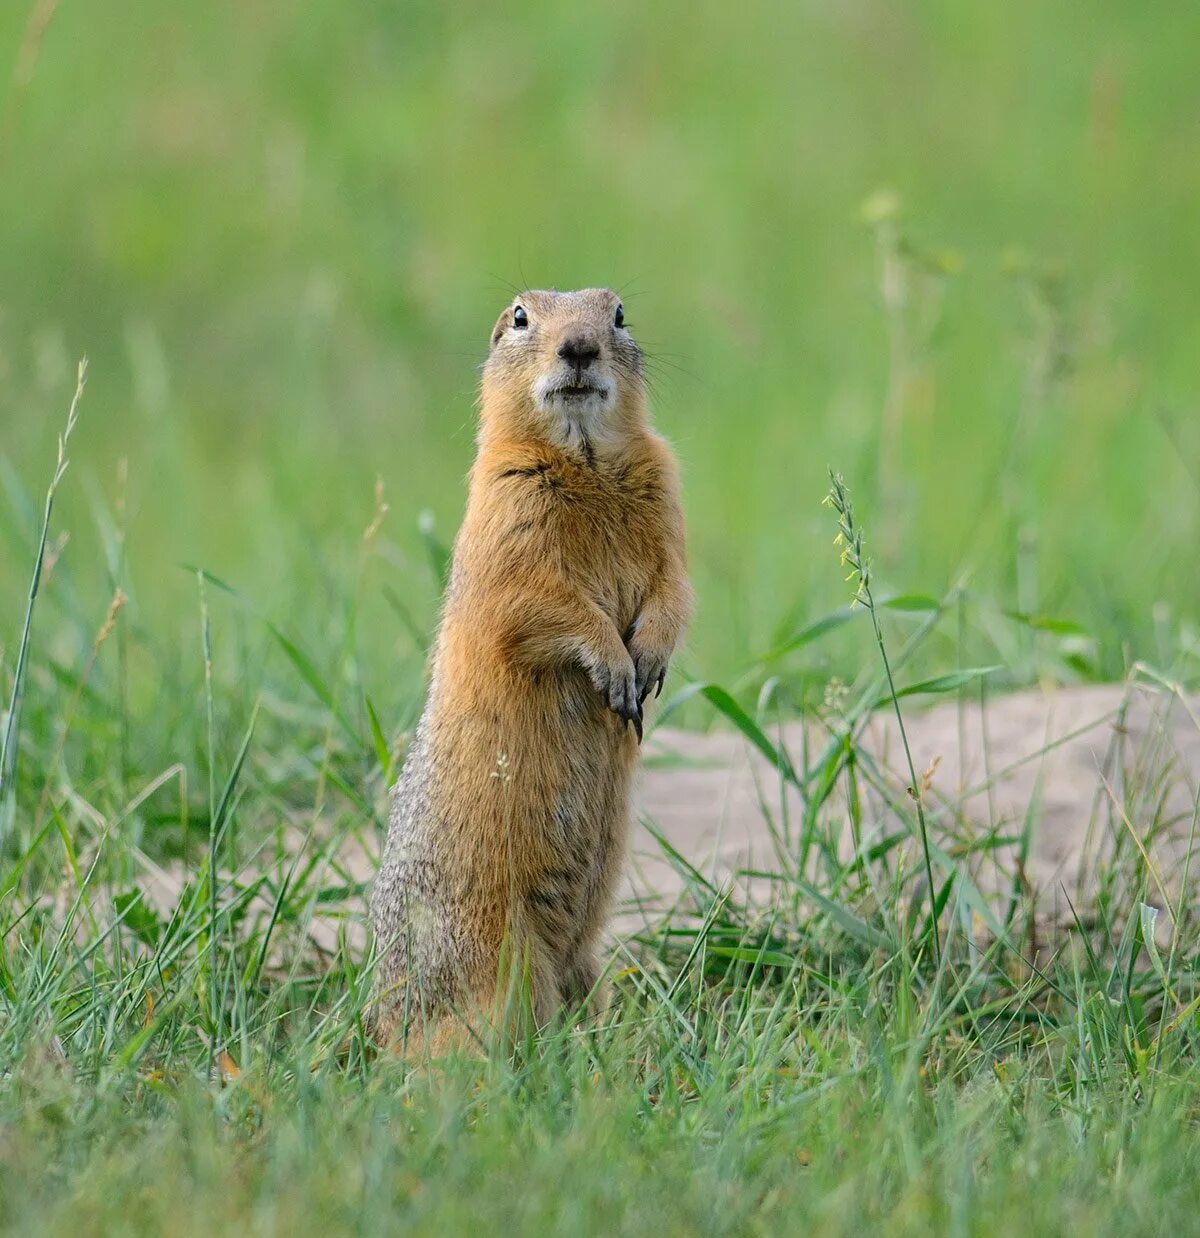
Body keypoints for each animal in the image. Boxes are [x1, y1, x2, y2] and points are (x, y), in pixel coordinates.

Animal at [371, 289, 693, 1054]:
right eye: (519, 316)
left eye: (618, 313)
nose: (578, 346)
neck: (587, 459)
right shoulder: (505, 515)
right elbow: (537, 602)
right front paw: (613, 666)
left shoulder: (668, 495)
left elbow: (674, 586)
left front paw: (650, 657)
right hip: (495, 962)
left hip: (584, 958)